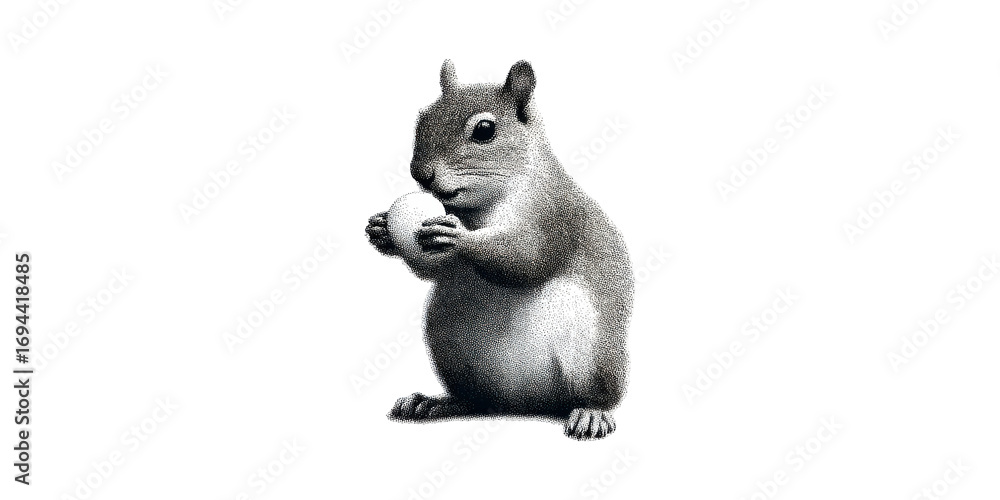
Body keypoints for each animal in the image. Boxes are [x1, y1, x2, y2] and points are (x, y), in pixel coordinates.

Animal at [365, 60, 633, 440]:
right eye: (423, 117)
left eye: (484, 130)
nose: (420, 173)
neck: (481, 206)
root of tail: (521, 403)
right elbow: (432, 268)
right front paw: (382, 230)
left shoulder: (553, 214)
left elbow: (527, 258)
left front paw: (462, 237)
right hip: (449, 343)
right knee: (474, 398)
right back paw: (438, 403)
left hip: (591, 353)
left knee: (595, 393)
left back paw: (591, 413)